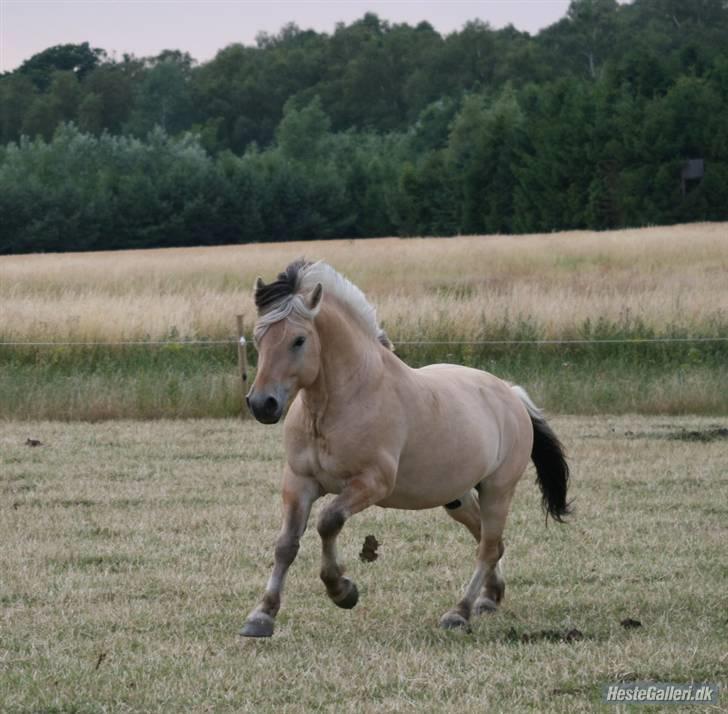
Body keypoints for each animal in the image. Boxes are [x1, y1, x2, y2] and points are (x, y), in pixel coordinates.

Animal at [239, 260, 568, 636]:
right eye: (258, 338)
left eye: (298, 340)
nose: (262, 404)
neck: (344, 399)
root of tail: (510, 394)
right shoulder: (299, 482)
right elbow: (285, 545)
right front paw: (261, 615)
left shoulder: (372, 483)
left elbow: (328, 522)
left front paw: (342, 590)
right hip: (457, 496)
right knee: (489, 540)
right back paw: (489, 598)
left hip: (498, 490)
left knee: (486, 548)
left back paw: (459, 612)